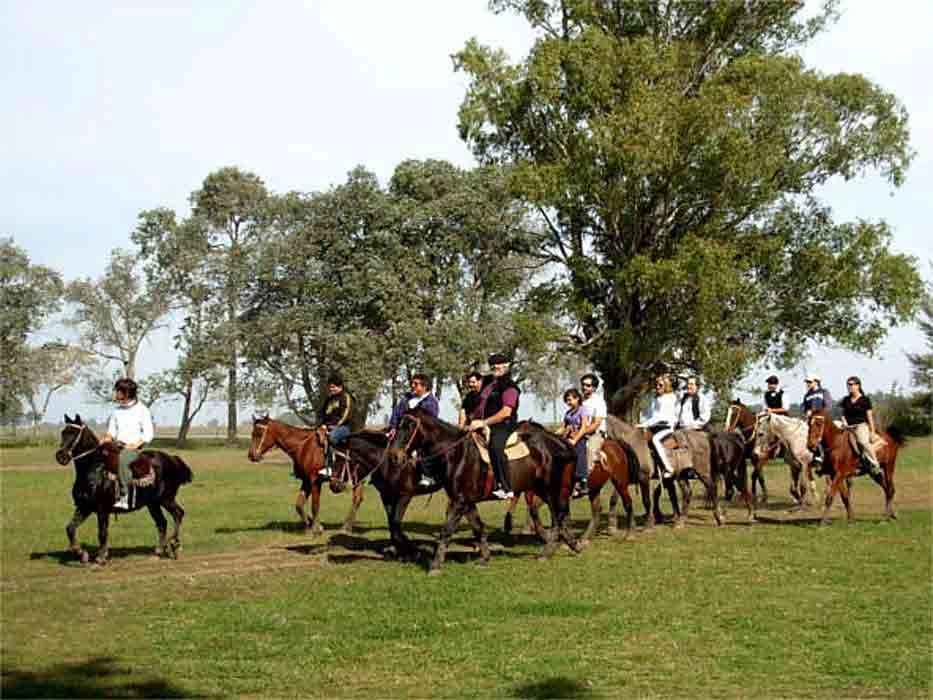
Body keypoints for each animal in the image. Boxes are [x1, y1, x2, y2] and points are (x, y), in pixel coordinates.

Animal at [55, 412, 193, 568]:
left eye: (74, 434)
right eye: (63, 432)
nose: (60, 456)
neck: (94, 471)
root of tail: (172, 459)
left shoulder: (102, 510)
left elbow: (102, 533)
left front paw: (100, 558)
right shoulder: (84, 507)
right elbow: (70, 528)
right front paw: (82, 555)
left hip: (166, 499)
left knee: (178, 514)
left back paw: (175, 545)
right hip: (153, 504)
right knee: (162, 522)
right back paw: (158, 552)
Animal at [246, 416, 388, 536]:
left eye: (259, 434)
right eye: (253, 433)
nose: (252, 456)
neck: (303, 447)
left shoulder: (315, 481)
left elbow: (315, 505)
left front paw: (316, 528)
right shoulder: (306, 481)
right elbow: (299, 504)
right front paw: (312, 526)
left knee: (357, 499)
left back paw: (345, 527)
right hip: (357, 478)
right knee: (358, 498)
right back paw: (347, 527)